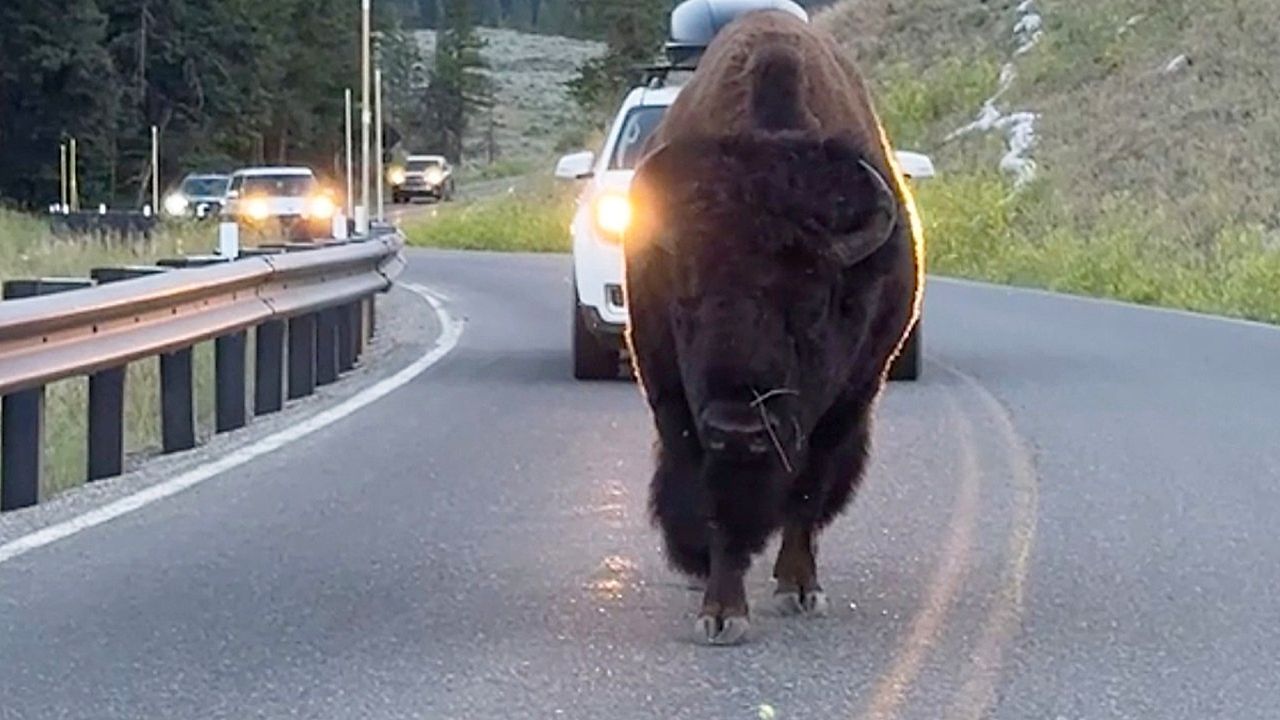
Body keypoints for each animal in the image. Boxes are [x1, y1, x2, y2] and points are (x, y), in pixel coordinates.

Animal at [622, 9, 924, 644]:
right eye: (685, 301)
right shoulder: (675, 399)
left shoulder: (845, 402)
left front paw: (798, 587)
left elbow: (806, 491)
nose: (741, 428)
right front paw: (720, 611)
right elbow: (712, 500)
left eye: (812, 304)